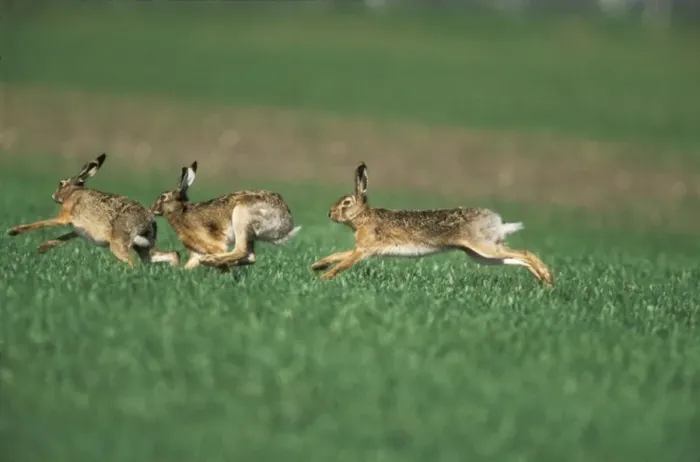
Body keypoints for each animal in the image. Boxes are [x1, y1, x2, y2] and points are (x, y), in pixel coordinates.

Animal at [7, 153, 180, 267]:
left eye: (61, 183)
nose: (53, 195)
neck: (74, 193)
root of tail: (148, 221)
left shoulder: (64, 216)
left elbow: (41, 223)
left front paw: (13, 231)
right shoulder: (78, 229)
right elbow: (64, 237)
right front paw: (42, 248)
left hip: (119, 244)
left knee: (133, 263)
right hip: (144, 248)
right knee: (170, 254)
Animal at [149, 161, 301, 270]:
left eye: (163, 197)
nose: (152, 209)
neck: (180, 211)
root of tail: (287, 222)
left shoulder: (213, 244)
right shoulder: (196, 252)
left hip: (241, 217)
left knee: (241, 250)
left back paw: (211, 261)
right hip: (249, 233)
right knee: (250, 256)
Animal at [311, 162, 553, 286]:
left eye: (346, 202)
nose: (329, 213)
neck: (364, 217)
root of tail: (496, 221)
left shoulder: (364, 249)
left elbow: (344, 262)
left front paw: (323, 278)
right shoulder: (363, 249)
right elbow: (339, 255)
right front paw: (317, 266)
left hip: (483, 248)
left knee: (525, 253)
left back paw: (547, 277)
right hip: (481, 255)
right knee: (517, 258)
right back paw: (544, 282)